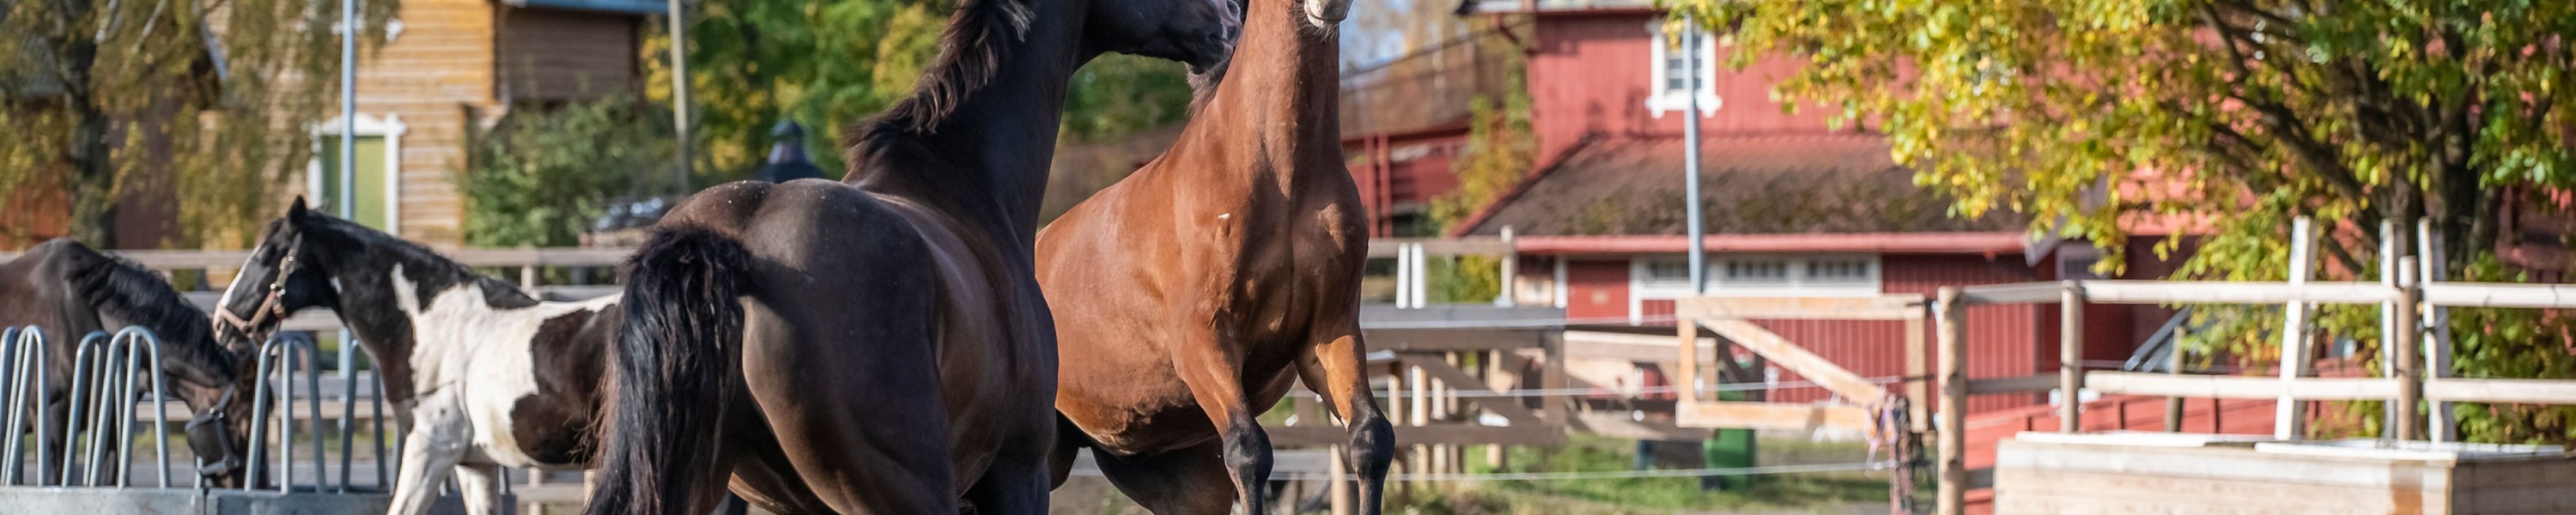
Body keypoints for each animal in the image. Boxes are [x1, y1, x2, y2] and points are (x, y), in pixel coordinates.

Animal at [1033, 0, 1384, 509]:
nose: (1328, 5)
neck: (1280, 175)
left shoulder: (1329, 331)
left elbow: (1370, 438)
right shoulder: (1205, 341)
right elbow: (1249, 452)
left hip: (1177, 476)